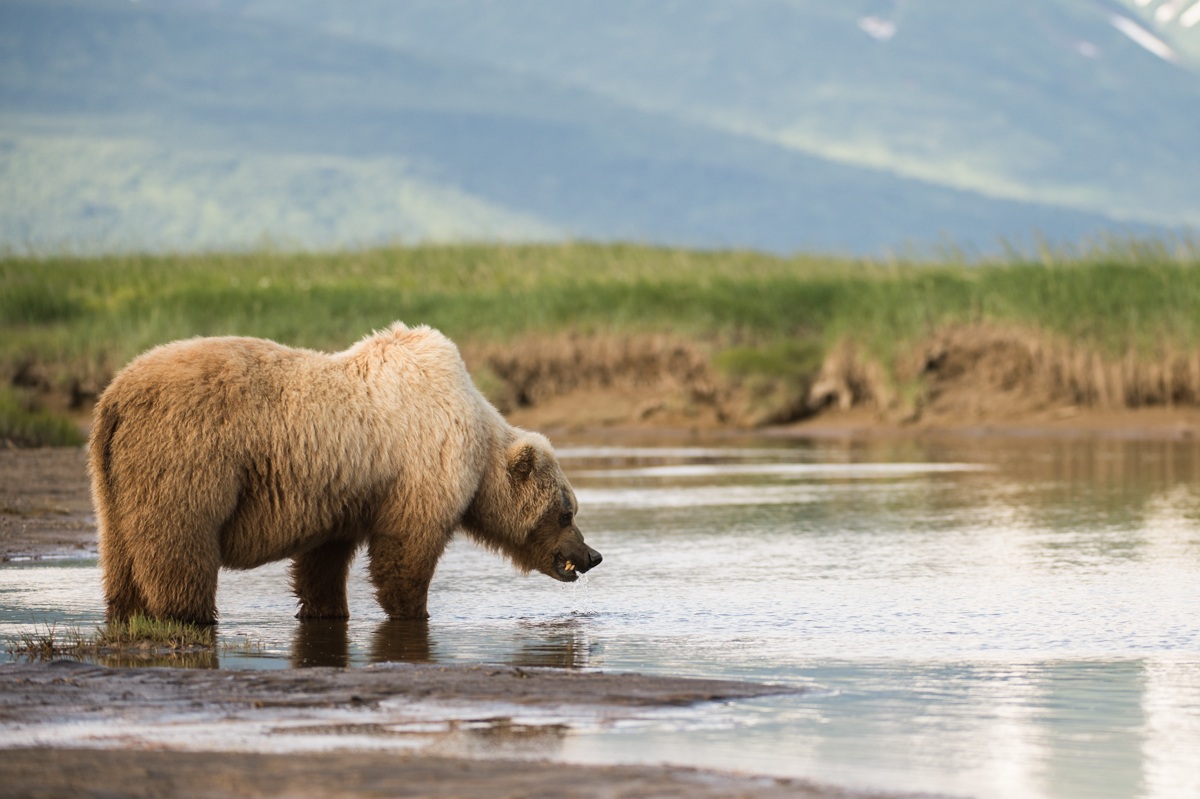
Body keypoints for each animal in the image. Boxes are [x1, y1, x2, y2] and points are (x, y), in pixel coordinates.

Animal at [88, 322, 602, 625]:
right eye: (566, 511)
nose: (592, 555)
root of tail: (115, 397)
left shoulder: (343, 491)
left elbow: (323, 563)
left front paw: (325, 609)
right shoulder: (421, 470)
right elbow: (406, 552)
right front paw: (412, 611)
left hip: (114, 479)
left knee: (121, 556)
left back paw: (125, 611)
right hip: (188, 456)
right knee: (181, 548)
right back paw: (190, 615)